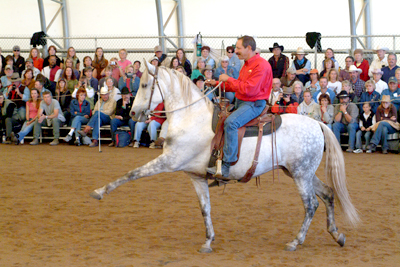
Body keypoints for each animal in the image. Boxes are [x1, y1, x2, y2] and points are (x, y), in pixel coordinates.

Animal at [90, 61, 360, 254]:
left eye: (146, 84)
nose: (134, 113)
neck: (192, 118)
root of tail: (317, 124)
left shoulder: (169, 161)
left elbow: (132, 173)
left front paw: (100, 191)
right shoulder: (196, 177)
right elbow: (205, 209)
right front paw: (208, 241)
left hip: (301, 175)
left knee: (311, 204)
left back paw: (296, 241)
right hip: (300, 172)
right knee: (327, 194)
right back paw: (337, 235)